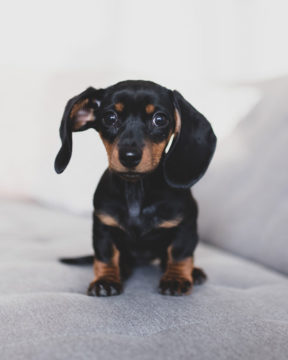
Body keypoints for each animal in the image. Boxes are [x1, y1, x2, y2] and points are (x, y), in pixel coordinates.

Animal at [54, 80, 216, 296]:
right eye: (110, 117)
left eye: (160, 119)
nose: (129, 156)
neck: (136, 191)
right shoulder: (103, 225)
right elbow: (105, 255)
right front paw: (105, 280)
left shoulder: (186, 224)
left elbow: (180, 253)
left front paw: (176, 278)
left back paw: (194, 272)